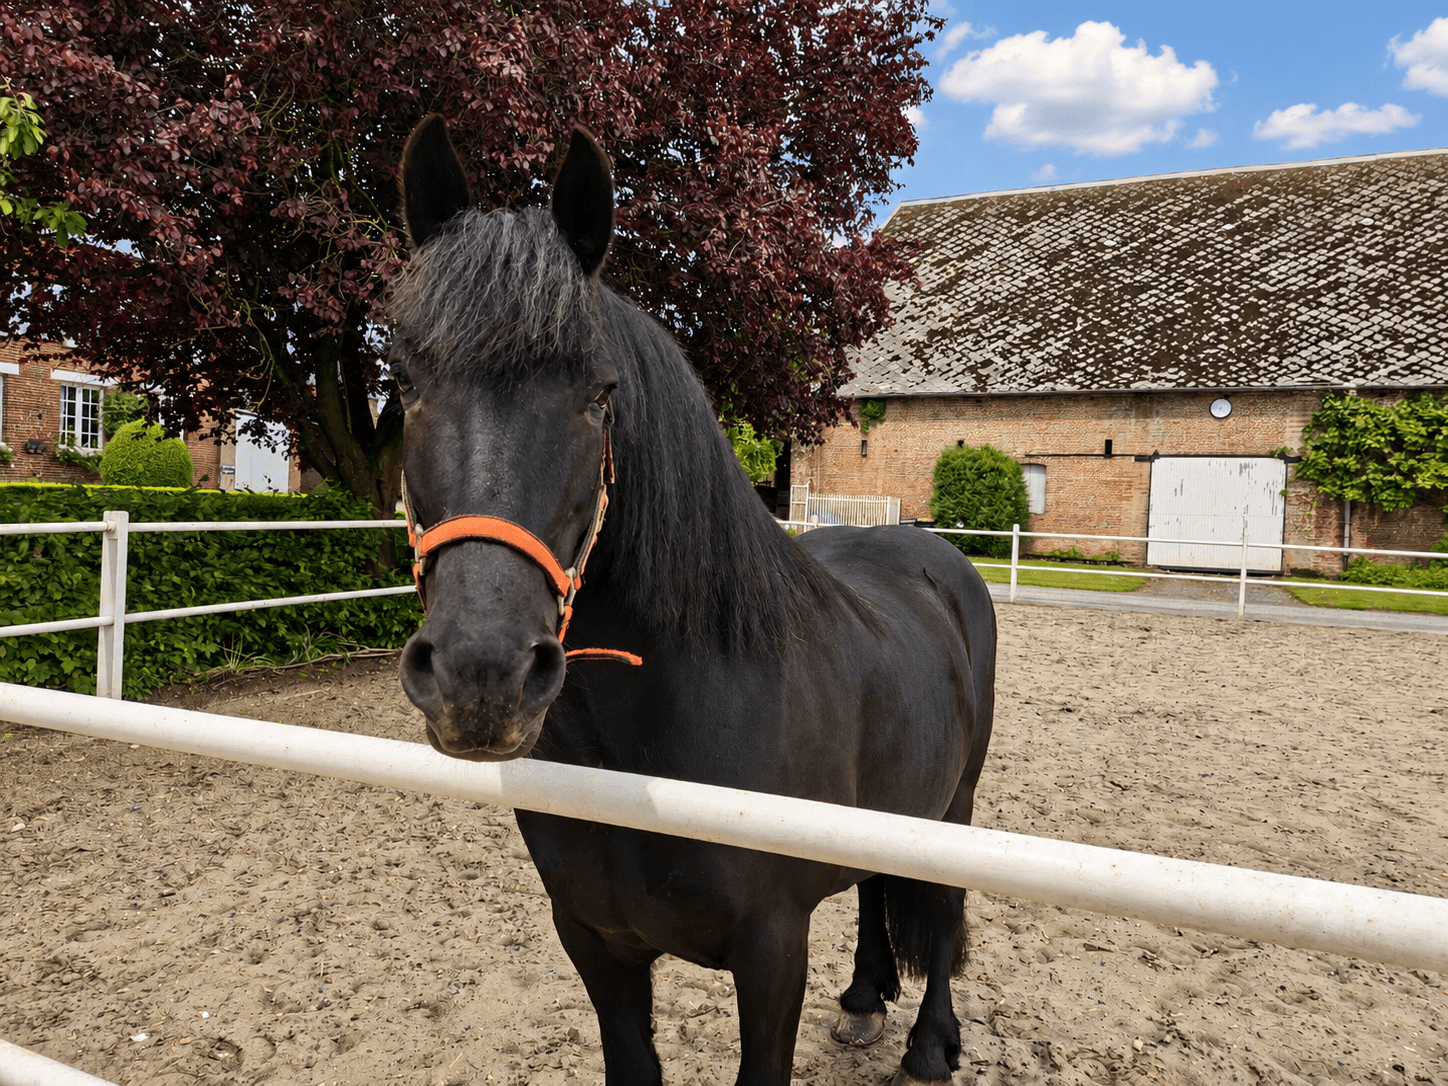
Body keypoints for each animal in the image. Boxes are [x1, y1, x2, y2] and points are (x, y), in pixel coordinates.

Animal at [389, 115, 997, 1086]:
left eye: (599, 393)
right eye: (404, 381)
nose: (480, 678)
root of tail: (933, 553)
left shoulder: (773, 952)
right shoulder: (594, 941)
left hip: (956, 803)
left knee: (939, 913)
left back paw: (930, 1044)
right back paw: (865, 999)